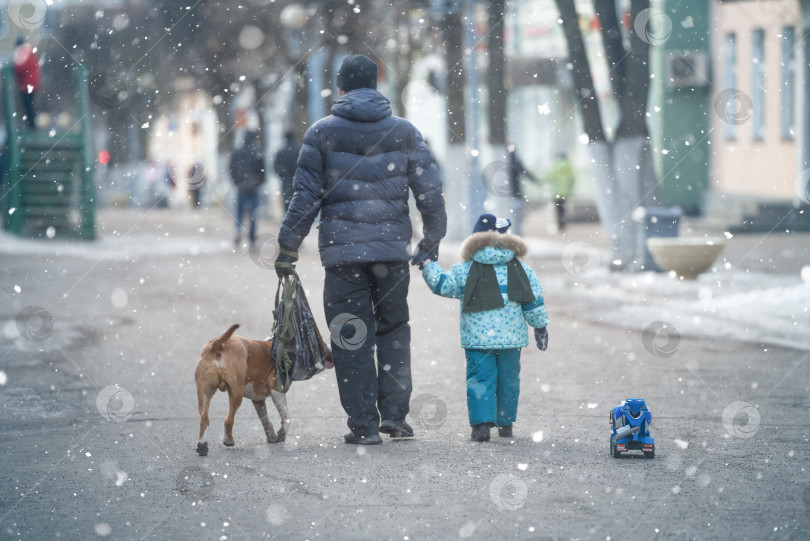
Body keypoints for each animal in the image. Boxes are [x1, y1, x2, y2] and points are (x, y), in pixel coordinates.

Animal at [193, 322, 328, 454]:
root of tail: (218, 345)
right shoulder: (277, 391)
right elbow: (286, 417)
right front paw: (281, 434)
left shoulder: (258, 400)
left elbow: (265, 419)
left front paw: (272, 437)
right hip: (236, 394)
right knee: (228, 420)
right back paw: (228, 440)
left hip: (204, 393)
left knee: (204, 419)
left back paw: (202, 445)